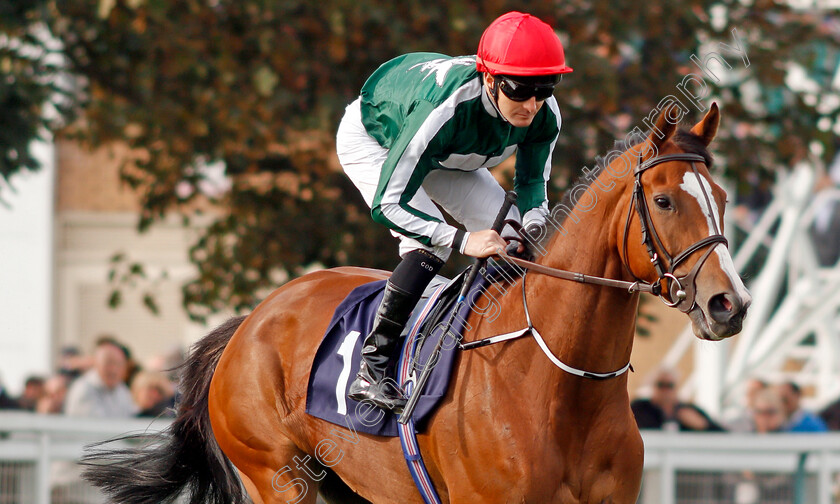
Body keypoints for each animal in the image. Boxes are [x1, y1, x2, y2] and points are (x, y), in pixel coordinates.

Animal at [83, 103, 748, 504]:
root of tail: (249, 322)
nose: (729, 304)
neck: (563, 385)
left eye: (720, 196)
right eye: (663, 200)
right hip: (277, 475)